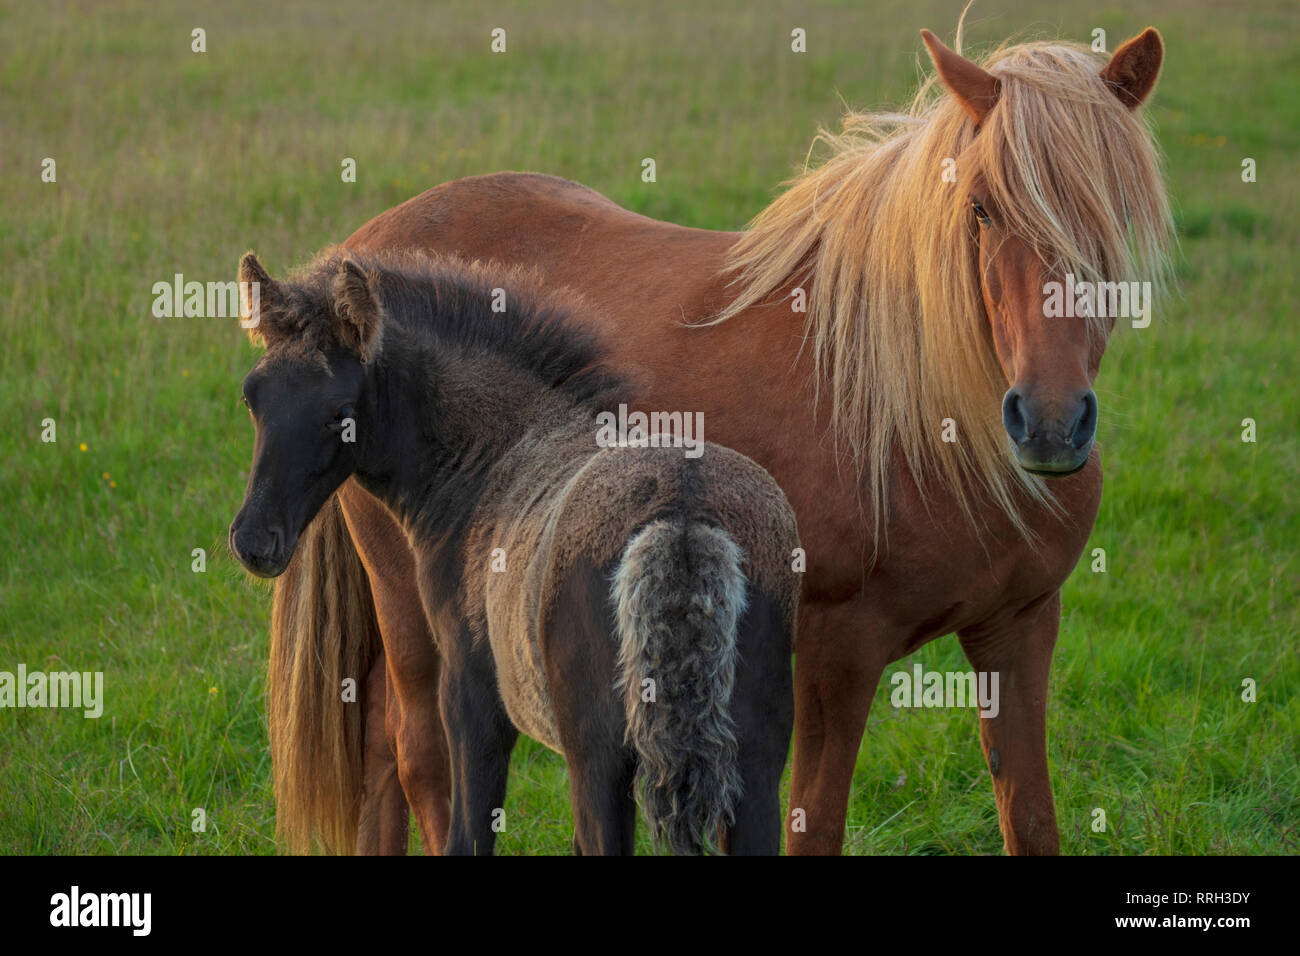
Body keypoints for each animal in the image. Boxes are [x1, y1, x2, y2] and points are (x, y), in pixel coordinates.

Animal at [230, 249, 801, 854]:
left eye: (340, 412)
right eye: (251, 395)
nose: (254, 540)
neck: (496, 453)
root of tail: (685, 522)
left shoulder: (470, 693)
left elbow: (469, 834)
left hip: (599, 755)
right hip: (755, 759)